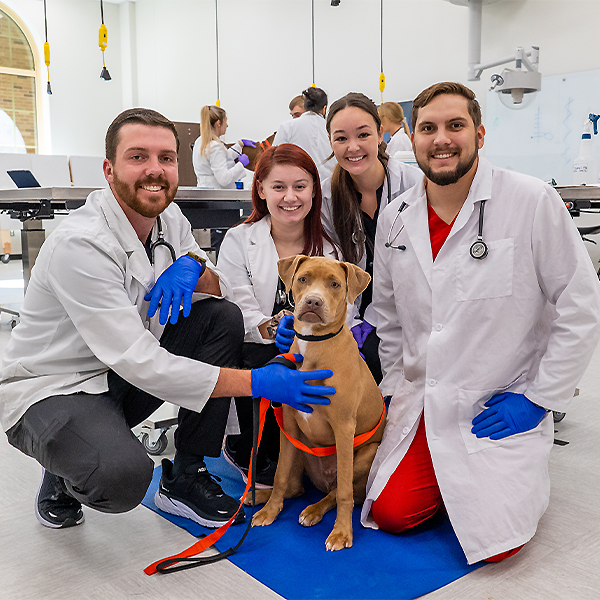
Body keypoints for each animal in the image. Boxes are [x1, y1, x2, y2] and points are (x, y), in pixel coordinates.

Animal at [248, 255, 384, 552]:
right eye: (303, 279)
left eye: (335, 284)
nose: (313, 301)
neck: (313, 344)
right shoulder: (288, 425)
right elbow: (280, 475)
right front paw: (270, 512)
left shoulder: (343, 428)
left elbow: (344, 493)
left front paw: (342, 533)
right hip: (300, 446)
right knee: (295, 486)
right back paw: (258, 497)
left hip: (366, 454)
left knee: (338, 492)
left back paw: (313, 510)